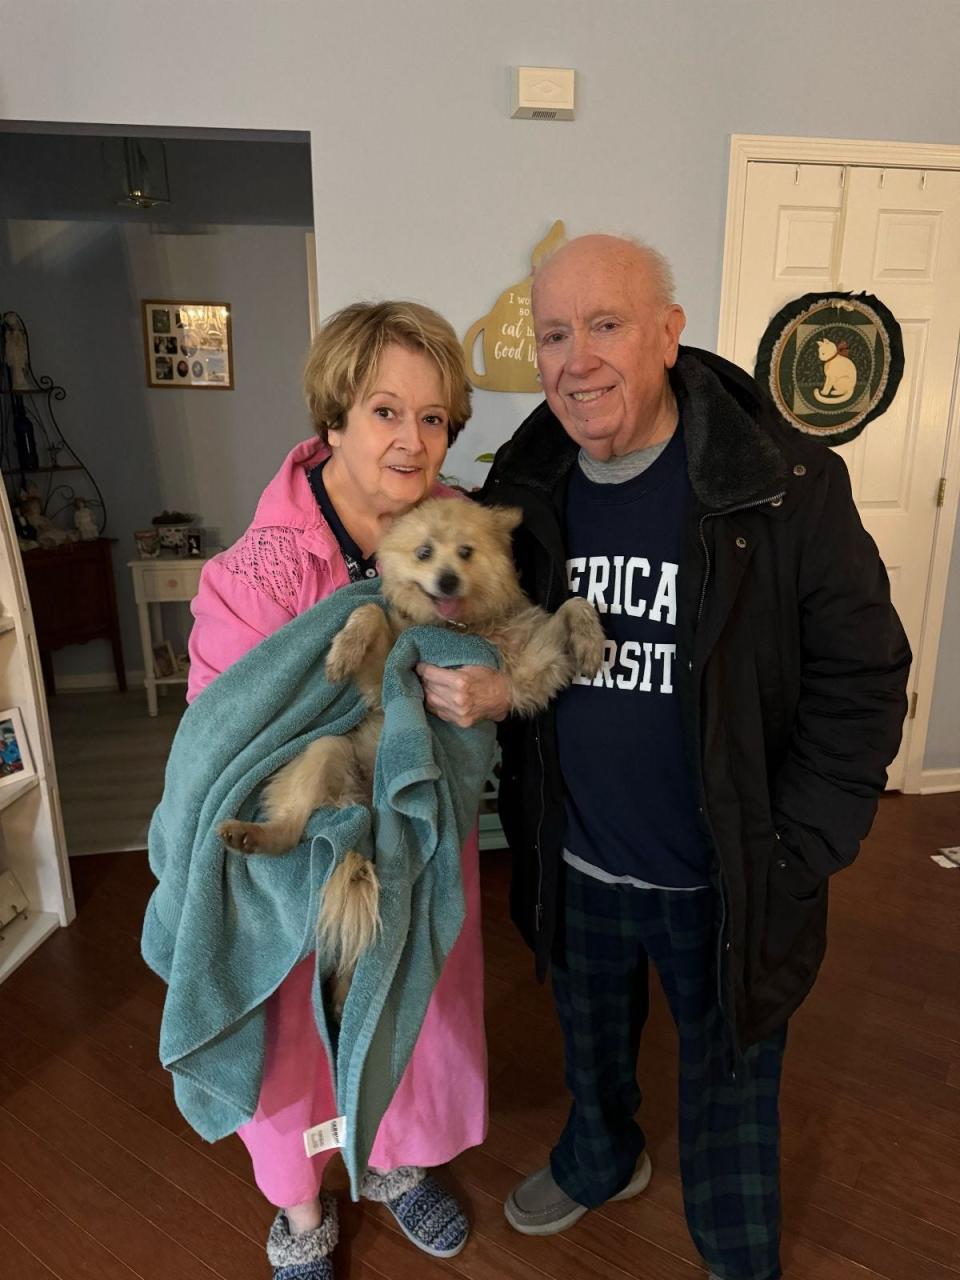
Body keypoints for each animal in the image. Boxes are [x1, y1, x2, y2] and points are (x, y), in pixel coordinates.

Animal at [221, 499, 604, 1008]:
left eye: (466, 552)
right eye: (424, 552)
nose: (448, 580)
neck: (457, 626)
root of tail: (363, 808)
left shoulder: (526, 670)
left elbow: (573, 605)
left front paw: (590, 639)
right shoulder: (386, 676)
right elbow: (369, 611)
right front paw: (342, 650)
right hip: (325, 751)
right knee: (290, 827)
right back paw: (251, 835)